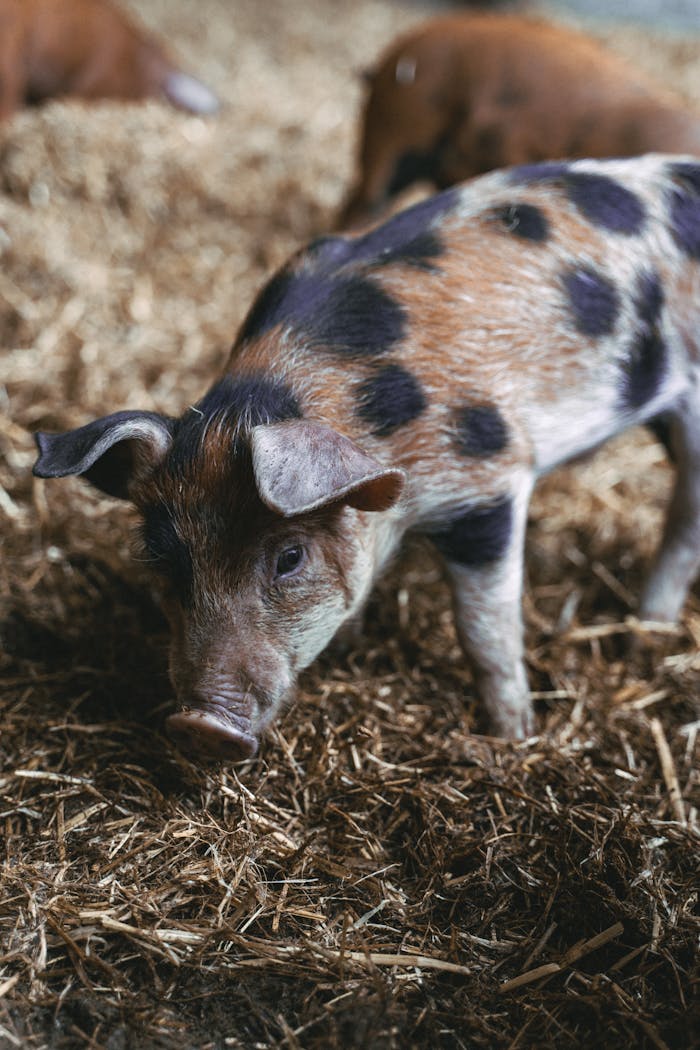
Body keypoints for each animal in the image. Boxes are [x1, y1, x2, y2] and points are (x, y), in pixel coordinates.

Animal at [33, 154, 700, 758]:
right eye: (166, 560)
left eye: (290, 557)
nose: (199, 726)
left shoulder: (486, 485)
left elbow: (484, 631)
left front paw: (513, 738)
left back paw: (646, 634)